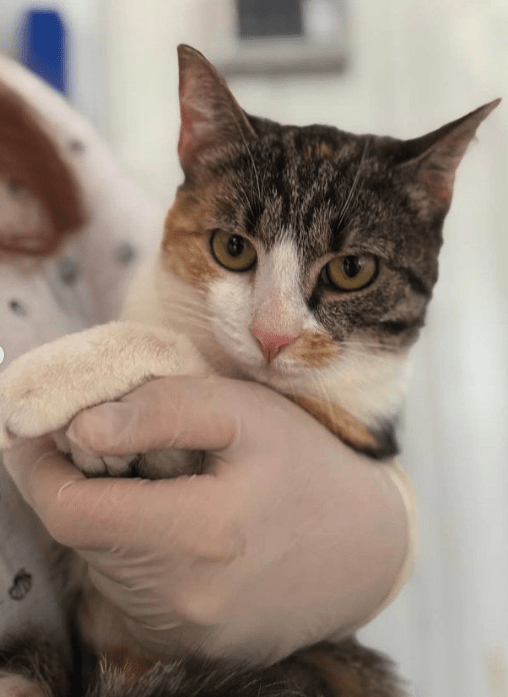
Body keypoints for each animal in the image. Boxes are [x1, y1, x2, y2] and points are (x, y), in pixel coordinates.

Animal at [0, 44, 498, 696]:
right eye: (232, 248)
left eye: (353, 269)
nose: (272, 335)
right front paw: (95, 444)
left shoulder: (358, 430)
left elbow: (209, 372)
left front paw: (46, 376)